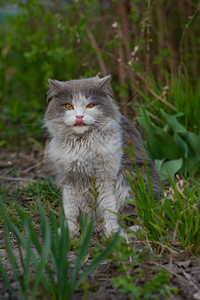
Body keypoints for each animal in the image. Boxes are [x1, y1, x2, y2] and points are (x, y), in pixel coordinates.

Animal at [44, 75, 159, 237]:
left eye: (90, 105)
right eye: (68, 106)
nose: (79, 117)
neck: (82, 144)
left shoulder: (106, 176)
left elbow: (109, 207)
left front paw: (111, 231)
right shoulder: (69, 177)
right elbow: (70, 209)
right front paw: (69, 232)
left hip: (130, 180)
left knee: (139, 219)